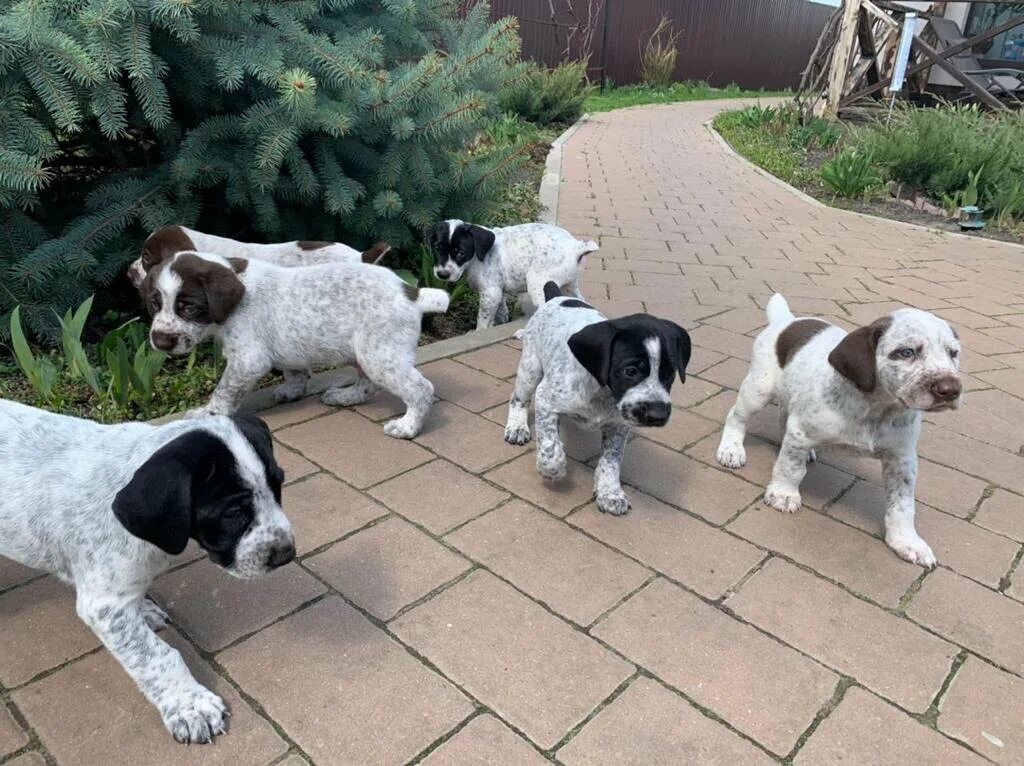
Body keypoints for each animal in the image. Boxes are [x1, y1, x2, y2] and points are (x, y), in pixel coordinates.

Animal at [1, 403, 296, 745]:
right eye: (232, 513)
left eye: (279, 485)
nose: (287, 554)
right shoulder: (103, 607)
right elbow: (155, 655)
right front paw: (189, 705)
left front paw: (143, 610)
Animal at [425, 220, 598, 329]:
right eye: (437, 248)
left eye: (461, 252)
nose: (442, 274)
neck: (477, 258)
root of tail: (575, 246)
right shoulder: (498, 292)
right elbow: (501, 313)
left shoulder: (490, 293)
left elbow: (483, 322)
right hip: (569, 286)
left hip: (538, 283)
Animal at [501, 284, 688, 518]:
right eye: (630, 371)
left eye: (670, 374)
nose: (658, 415)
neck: (602, 392)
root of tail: (556, 296)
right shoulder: (546, 398)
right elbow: (550, 448)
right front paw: (553, 470)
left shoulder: (619, 425)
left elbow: (611, 460)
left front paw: (610, 493)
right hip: (530, 368)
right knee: (519, 399)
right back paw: (517, 427)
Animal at [712, 292, 958, 569]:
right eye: (906, 352)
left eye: (953, 353)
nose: (951, 390)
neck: (876, 408)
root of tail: (786, 320)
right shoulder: (801, 432)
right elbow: (790, 467)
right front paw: (784, 493)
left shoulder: (902, 459)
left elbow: (902, 504)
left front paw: (907, 541)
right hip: (758, 389)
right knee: (737, 416)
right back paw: (732, 449)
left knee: (784, 416)